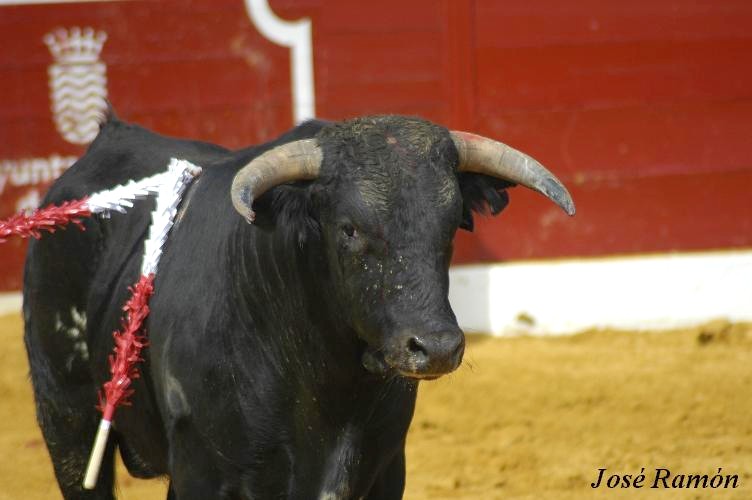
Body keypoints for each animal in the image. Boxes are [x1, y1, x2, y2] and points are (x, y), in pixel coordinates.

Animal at [25, 114, 576, 500]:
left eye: (451, 223)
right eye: (348, 228)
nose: (436, 346)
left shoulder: (384, 470)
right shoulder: (204, 473)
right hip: (66, 421)